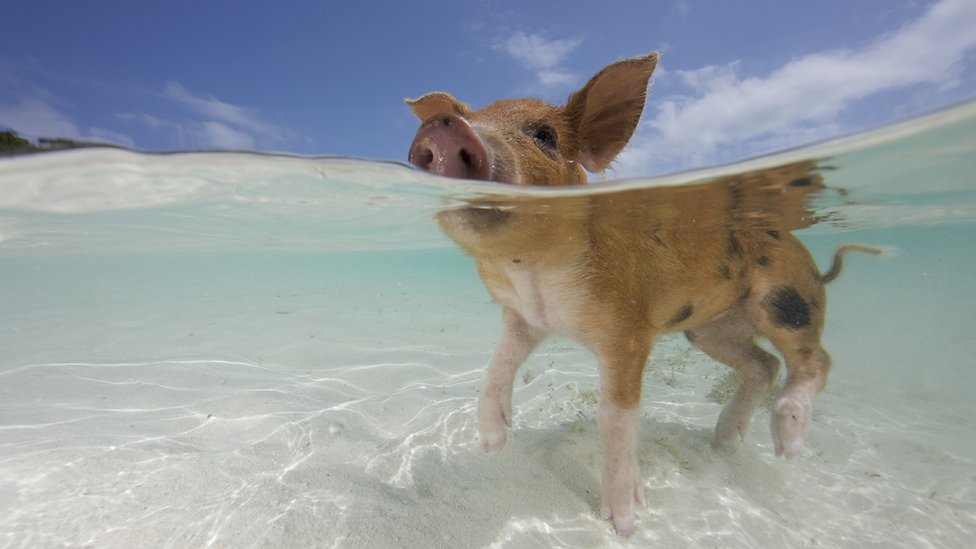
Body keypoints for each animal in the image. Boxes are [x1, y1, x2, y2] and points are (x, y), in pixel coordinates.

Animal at [406, 52, 880, 536]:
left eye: (545, 135)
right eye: (473, 116)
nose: (444, 127)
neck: (533, 273)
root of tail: (811, 263)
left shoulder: (629, 332)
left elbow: (613, 417)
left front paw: (623, 523)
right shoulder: (525, 317)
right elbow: (498, 363)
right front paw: (492, 443)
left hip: (785, 299)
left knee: (814, 360)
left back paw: (787, 446)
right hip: (709, 330)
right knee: (764, 365)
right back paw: (725, 443)